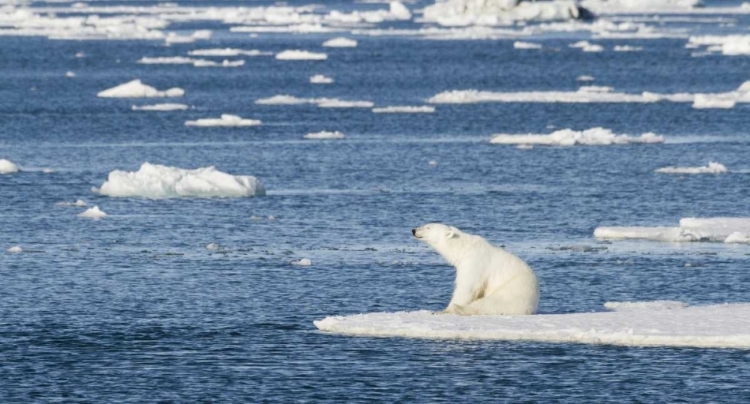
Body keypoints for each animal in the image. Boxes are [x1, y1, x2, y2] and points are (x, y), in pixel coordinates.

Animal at [412, 224, 540, 316]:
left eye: (428, 227)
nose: (414, 230)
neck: (464, 248)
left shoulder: (475, 262)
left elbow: (467, 287)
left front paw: (444, 310)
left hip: (514, 290)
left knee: (491, 303)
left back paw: (458, 308)